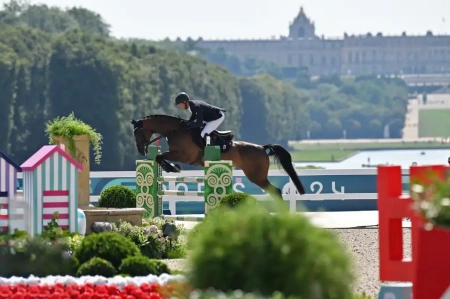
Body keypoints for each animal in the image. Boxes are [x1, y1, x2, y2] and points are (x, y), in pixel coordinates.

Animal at [130, 115, 306, 199]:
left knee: (275, 191)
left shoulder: (183, 155)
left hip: (257, 176)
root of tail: (262, 148)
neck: (176, 130)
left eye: (137, 132)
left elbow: (160, 156)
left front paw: (172, 168)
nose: (141, 151)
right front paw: (171, 167)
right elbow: (159, 157)